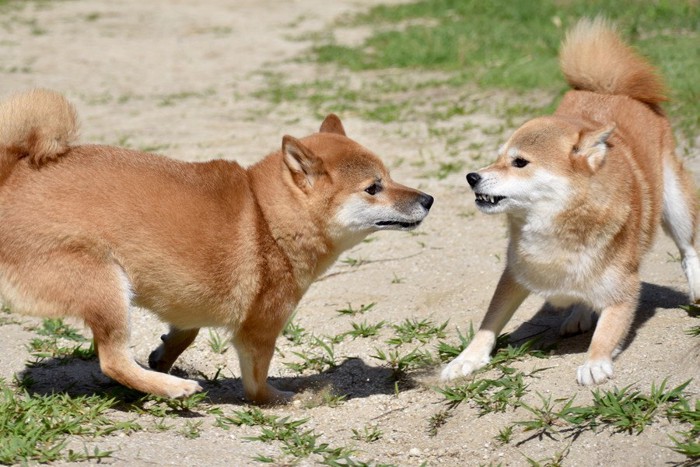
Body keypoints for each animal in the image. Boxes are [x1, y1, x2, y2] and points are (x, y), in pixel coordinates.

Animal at [0, 89, 432, 404]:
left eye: (391, 176)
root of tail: (12, 176)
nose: (428, 199)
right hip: (105, 284)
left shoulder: (187, 296)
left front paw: (164, 355)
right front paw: (277, 398)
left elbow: (185, 332)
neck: (266, 217)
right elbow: (256, 381)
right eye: (373, 188)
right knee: (113, 360)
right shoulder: (260, 328)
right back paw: (173, 389)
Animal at [442, 16, 700, 386]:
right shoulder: (513, 275)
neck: (557, 229)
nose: (472, 177)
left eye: (519, 162)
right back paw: (578, 313)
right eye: (498, 158)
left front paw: (595, 361)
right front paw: (467, 359)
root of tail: (610, 90)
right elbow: (488, 324)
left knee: (688, 248)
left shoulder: (625, 288)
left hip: (674, 202)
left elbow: (608, 330)